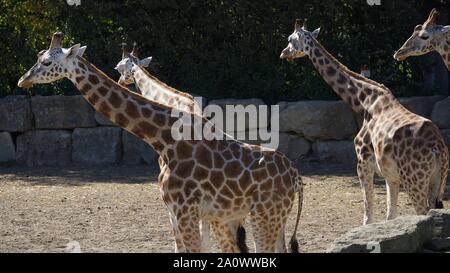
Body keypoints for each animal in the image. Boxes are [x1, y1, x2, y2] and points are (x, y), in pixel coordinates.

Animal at [19, 31, 304, 251]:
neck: (164, 140)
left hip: (263, 216)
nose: (23, 80)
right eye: (37, 58)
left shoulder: (185, 210)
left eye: (46, 62)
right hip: (272, 218)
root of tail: (296, 177)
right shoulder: (173, 211)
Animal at [280, 19, 448, 225]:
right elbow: (390, 216)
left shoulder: (362, 162)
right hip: (436, 181)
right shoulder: (390, 175)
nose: (283, 53)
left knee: (422, 211)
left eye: (290, 39)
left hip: (415, 180)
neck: (364, 101)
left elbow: (368, 217)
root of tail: (437, 147)